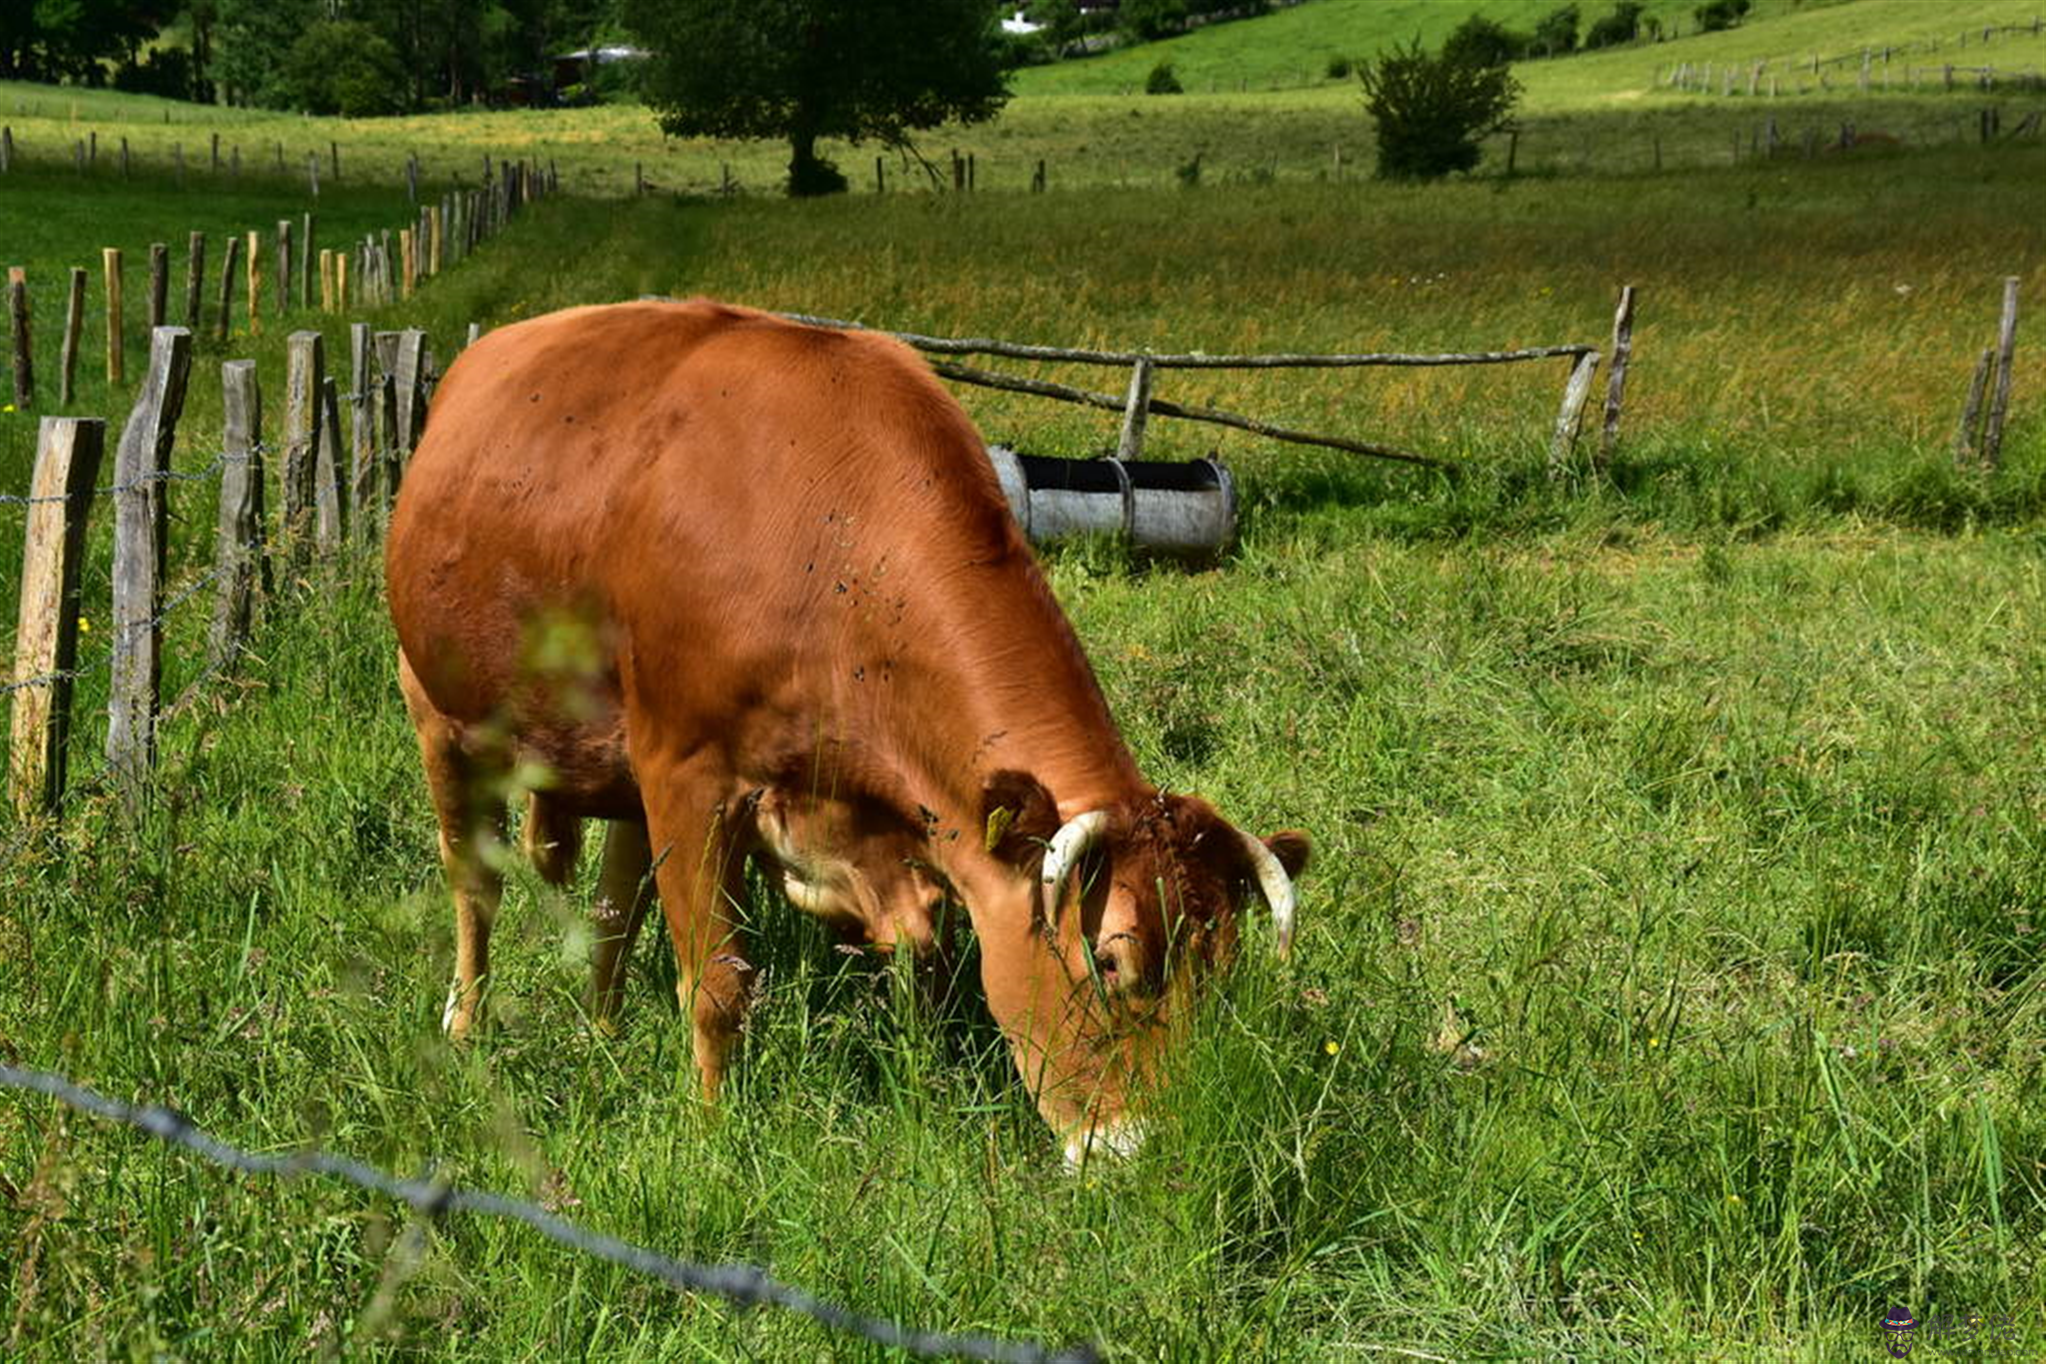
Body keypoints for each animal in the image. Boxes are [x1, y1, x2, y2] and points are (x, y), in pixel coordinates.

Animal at [386, 298, 1309, 1161]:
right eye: (1112, 963)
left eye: (1226, 969)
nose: (1146, 1150)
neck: (830, 548)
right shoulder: (688, 770)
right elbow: (717, 986)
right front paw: (710, 1134)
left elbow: (923, 970)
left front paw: (923, 1087)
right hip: (436, 708)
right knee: (475, 883)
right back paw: (466, 1023)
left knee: (617, 903)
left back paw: (604, 1030)